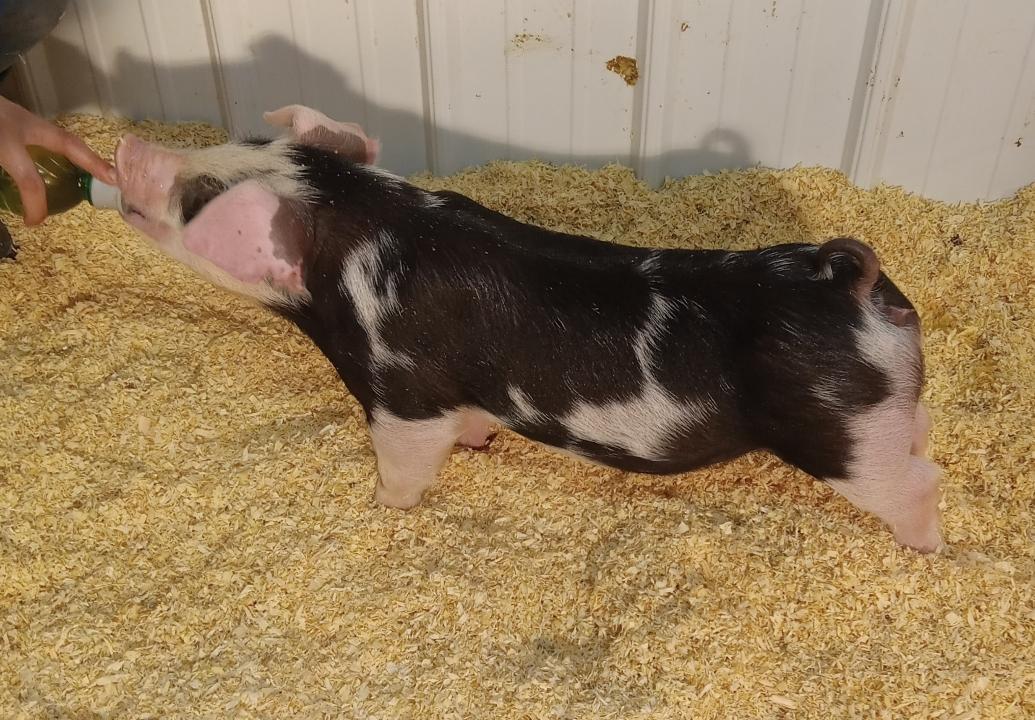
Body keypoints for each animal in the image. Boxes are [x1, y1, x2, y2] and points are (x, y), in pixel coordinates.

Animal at [113, 104, 943, 552]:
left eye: (198, 197)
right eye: (239, 145)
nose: (125, 147)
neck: (363, 231)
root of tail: (844, 279)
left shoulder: (403, 394)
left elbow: (405, 462)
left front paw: (384, 508)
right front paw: (479, 445)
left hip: (844, 437)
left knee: (917, 482)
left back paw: (926, 547)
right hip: (890, 406)